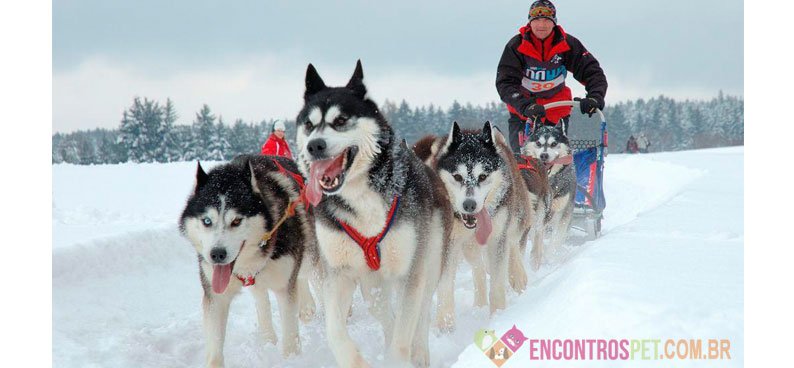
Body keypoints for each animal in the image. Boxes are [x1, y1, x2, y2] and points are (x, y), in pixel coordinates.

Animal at [179, 156, 316, 368]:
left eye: (236, 221)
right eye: (207, 221)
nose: (217, 254)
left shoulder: (285, 288)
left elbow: (290, 337)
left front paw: (291, 360)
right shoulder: (216, 297)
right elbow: (215, 349)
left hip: (310, 254)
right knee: (262, 300)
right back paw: (268, 338)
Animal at [294, 61, 452, 368]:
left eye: (341, 120)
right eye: (309, 124)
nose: (314, 145)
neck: (361, 197)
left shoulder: (410, 273)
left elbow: (404, 334)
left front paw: (400, 358)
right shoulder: (339, 275)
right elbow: (334, 331)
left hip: (429, 263)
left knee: (421, 315)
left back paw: (420, 354)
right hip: (372, 287)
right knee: (387, 317)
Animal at [412, 121, 528, 330]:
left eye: (482, 176)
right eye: (457, 177)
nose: (469, 205)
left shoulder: (498, 239)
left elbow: (497, 282)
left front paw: (498, 315)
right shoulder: (448, 244)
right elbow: (445, 285)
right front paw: (445, 323)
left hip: (514, 220)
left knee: (513, 245)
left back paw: (518, 275)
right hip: (468, 248)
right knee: (479, 269)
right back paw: (479, 304)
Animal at [520, 122, 576, 258]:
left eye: (554, 143)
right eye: (538, 143)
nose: (544, 155)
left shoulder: (563, 212)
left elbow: (556, 238)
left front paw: (550, 255)